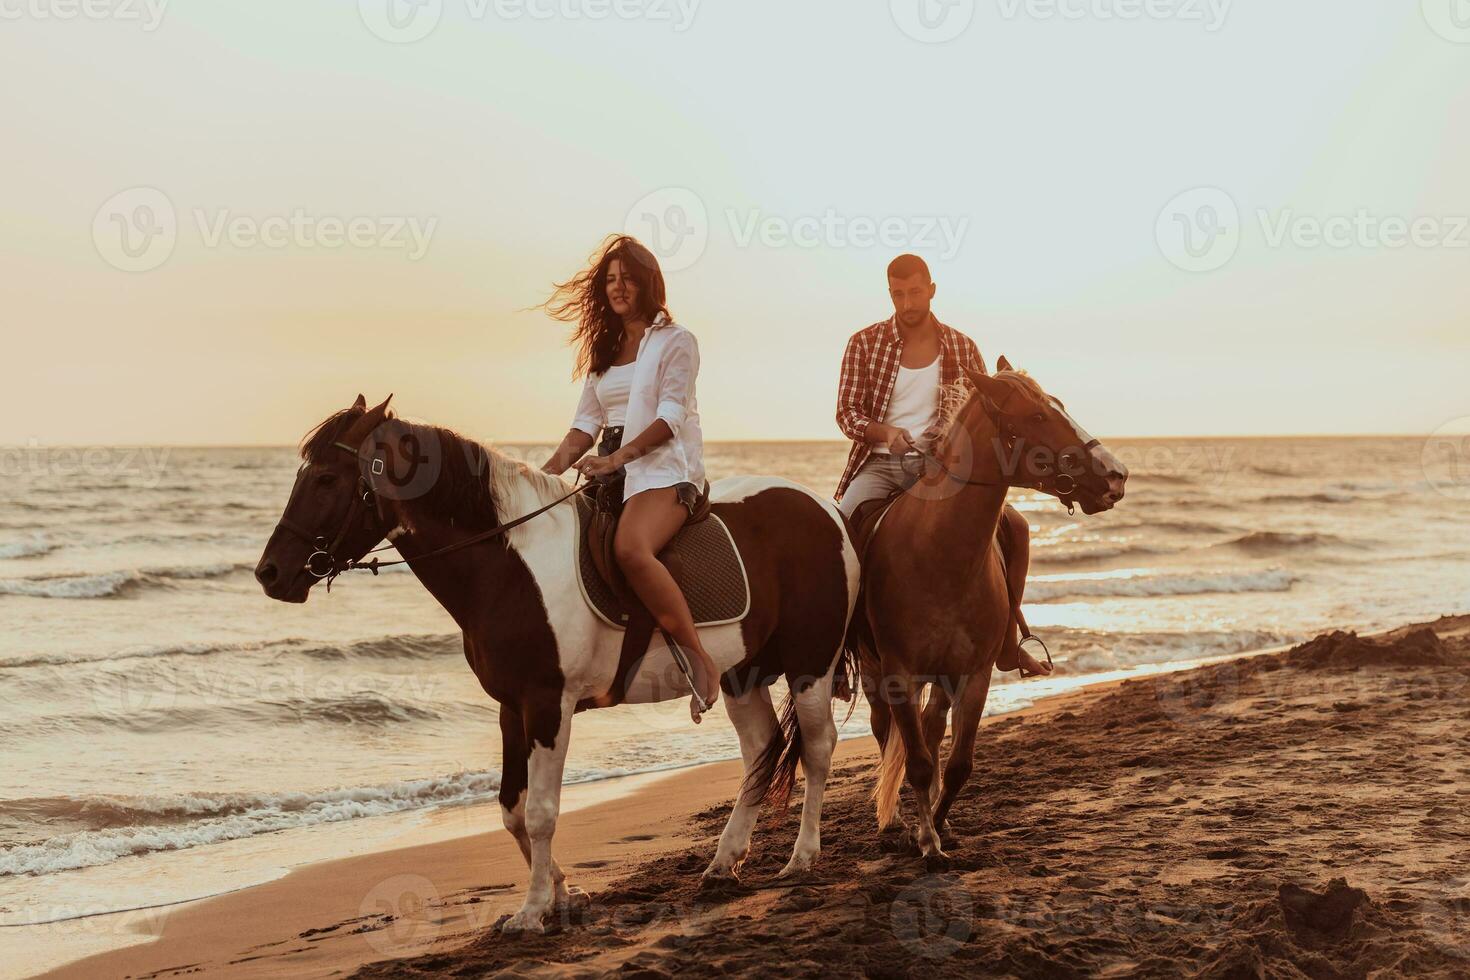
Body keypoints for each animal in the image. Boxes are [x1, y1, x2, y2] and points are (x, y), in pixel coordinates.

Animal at [254, 399, 858, 934]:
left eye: (327, 479)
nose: (270, 573)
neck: (508, 565)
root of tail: (826, 510)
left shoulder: (549, 704)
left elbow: (543, 810)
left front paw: (532, 912)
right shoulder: (511, 707)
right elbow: (513, 809)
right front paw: (564, 893)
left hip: (810, 665)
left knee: (817, 748)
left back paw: (801, 858)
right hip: (740, 674)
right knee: (760, 749)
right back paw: (723, 861)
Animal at [858, 358, 1123, 858]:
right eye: (1038, 415)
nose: (1116, 475)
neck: (940, 556)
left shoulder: (975, 674)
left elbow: (958, 763)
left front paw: (938, 827)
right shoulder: (899, 671)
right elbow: (915, 761)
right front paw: (927, 843)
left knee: (932, 726)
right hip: (873, 672)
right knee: (885, 730)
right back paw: (893, 821)